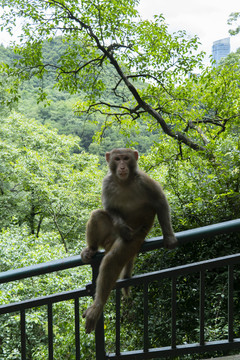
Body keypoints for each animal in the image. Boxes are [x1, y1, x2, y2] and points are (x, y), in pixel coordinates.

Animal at [80, 148, 176, 334]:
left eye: (126, 158)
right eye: (117, 159)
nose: (122, 166)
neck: (124, 182)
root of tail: (110, 243)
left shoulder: (144, 180)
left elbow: (160, 201)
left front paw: (168, 236)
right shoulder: (107, 182)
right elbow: (110, 209)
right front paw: (123, 228)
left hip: (135, 240)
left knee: (113, 258)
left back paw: (97, 305)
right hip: (109, 236)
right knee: (97, 214)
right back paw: (92, 249)